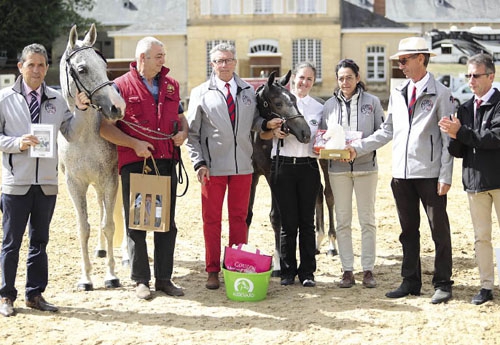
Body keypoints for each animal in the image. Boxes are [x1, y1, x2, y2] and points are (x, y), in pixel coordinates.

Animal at [59, 22, 126, 288]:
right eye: (82, 69)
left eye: (105, 67)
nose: (117, 107)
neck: (84, 135)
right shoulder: (75, 184)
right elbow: (83, 228)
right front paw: (86, 278)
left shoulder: (110, 179)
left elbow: (109, 224)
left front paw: (111, 275)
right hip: (96, 184)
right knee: (99, 207)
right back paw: (100, 249)